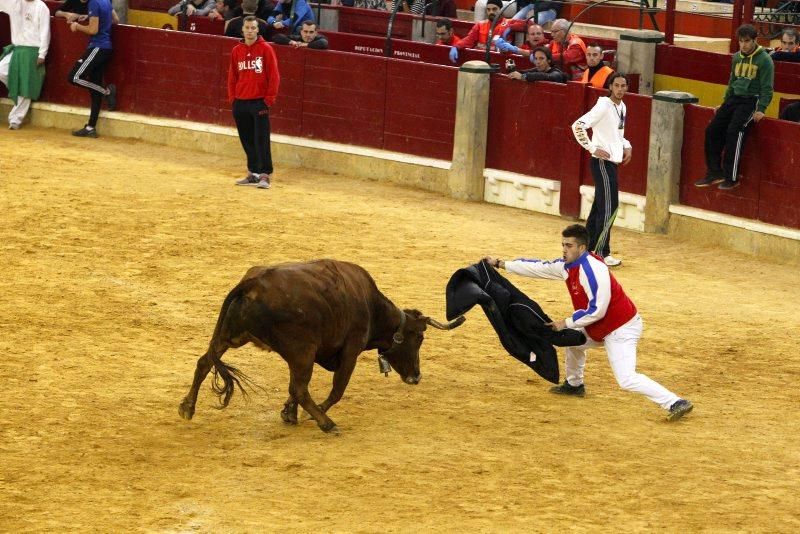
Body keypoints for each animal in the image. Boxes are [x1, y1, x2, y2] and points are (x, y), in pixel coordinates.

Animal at [175, 260, 462, 436]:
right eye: (419, 338)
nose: (416, 376)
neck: (372, 306)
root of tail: (253, 283)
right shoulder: (350, 350)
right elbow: (336, 390)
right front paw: (309, 415)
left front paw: (289, 413)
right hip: (302, 350)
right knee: (301, 388)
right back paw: (327, 424)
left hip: (229, 336)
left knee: (204, 362)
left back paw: (187, 407)